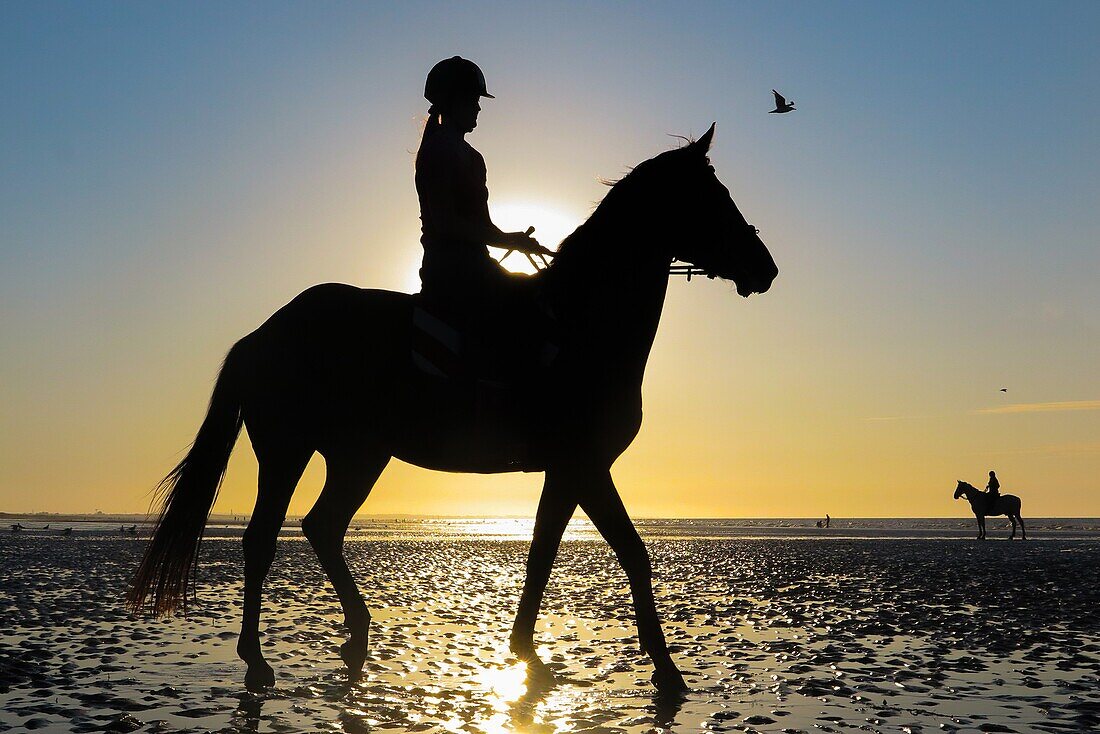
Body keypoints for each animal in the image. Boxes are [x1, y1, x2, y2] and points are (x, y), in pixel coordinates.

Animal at [128, 124, 778, 695]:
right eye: (713, 198)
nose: (766, 268)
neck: (582, 325)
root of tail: (265, 332)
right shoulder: (586, 464)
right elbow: (633, 554)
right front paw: (666, 670)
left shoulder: (566, 471)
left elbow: (542, 552)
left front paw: (524, 650)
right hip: (288, 451)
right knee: (263, 539)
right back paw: (257, 660)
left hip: (358, 455)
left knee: (322, 526)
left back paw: (356, 636)